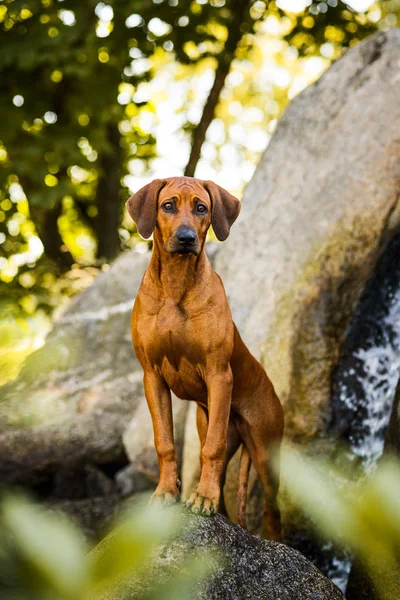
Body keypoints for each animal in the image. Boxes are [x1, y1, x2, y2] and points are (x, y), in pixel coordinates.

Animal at [126, 176, 282, 540]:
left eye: (201, 208)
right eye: (168, 205)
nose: (186, 238)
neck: (176, 285)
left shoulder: (218, 374)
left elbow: (211, 450)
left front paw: (203, 497)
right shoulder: (151, 377)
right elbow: (164, 442)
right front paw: (166, 491)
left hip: (265, 450)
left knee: (272, 506)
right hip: (210, 425)